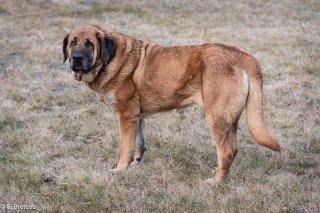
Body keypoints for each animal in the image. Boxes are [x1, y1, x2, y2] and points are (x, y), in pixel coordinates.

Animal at [62, 24, 280, 181]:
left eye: (89, 44)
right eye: (73, 42)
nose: (76, 58)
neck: (111, 57)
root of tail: (244, 56)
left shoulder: (126, 116)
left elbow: (124, 147)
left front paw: (120, 170)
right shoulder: (136, 117)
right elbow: (139, 143)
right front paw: (135, 164)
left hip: (215, 117)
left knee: (225, 152)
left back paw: (216, 182)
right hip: (229, 119)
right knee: (233, 149)